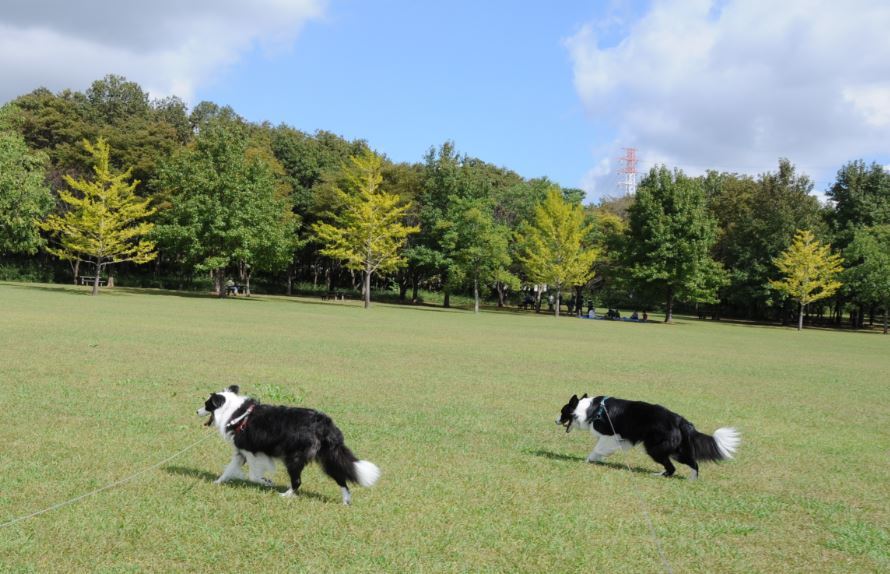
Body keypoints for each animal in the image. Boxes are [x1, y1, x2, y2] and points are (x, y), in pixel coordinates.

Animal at [196, 388, 380, 504]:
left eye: (206, 404)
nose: (196, 411)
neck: (235, 413)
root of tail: (325, 424)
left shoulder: (252, 451)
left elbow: (253, 475)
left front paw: (267, 482)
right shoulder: (241, 452)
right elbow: (228, 470)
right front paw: (217, 482)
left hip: (294, 458)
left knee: (297, 481)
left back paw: (285, 495)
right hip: (328, 457)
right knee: (341, 477)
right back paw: (346, 501)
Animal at [556, 394, 736, 480]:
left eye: (562, 411)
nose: (555, 420)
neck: (589, 410)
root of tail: (680, 420)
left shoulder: (610, 434)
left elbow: (597, 448)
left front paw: (588, 460)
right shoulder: (621, 439)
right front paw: (598, 459)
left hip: (655, 448)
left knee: (674, 467)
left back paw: (660, 475)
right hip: (676, 450)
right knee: (692, 463)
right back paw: (691, 479)